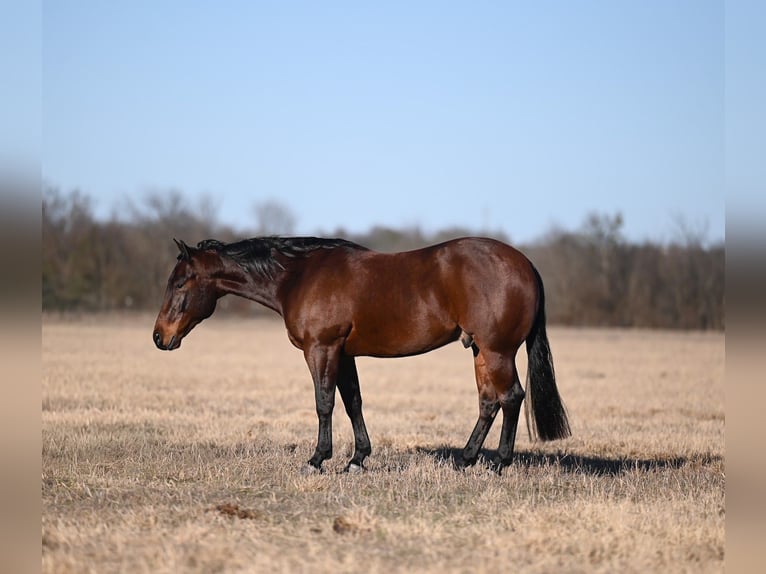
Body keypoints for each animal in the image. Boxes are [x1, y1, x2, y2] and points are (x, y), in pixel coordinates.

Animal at [153, 236, 570, 474]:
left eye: (179, 283)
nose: (160, 337)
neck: (299, 276)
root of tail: (525, 265)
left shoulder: (322, 348)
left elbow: (324, 403)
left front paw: (317, 459)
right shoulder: (344, 353)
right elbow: (352, 401)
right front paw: (357, 459)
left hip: (498, 351)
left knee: (511, 397)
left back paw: (498, 464)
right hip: (481, 351)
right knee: (488, 402)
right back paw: (465, 460)